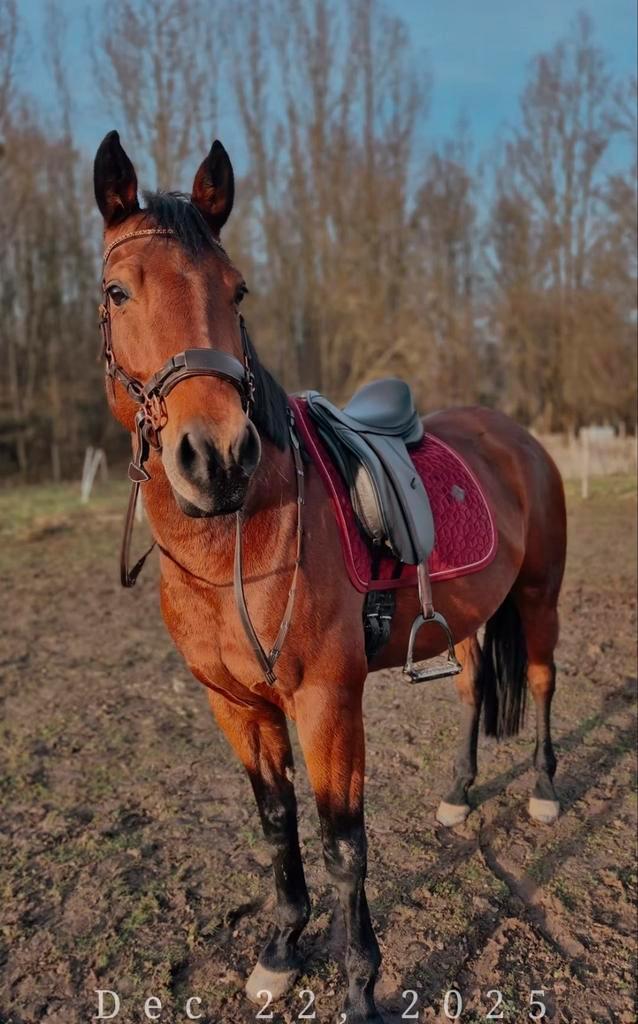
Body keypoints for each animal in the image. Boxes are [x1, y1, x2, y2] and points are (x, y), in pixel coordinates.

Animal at [93, 130, 567, 1024]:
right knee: (472, 690)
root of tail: (515, 434)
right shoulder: (236, 705)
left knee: (544, 681)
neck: (242, 542)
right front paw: (281, 950)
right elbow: (277, 824)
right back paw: (460, 793)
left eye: (237, 290)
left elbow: (344, 842)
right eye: (117, 290)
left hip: (538, 597)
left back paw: (547, 790)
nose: (217, 457)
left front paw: (360, 986)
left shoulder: (326, 700)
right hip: (471, 617)